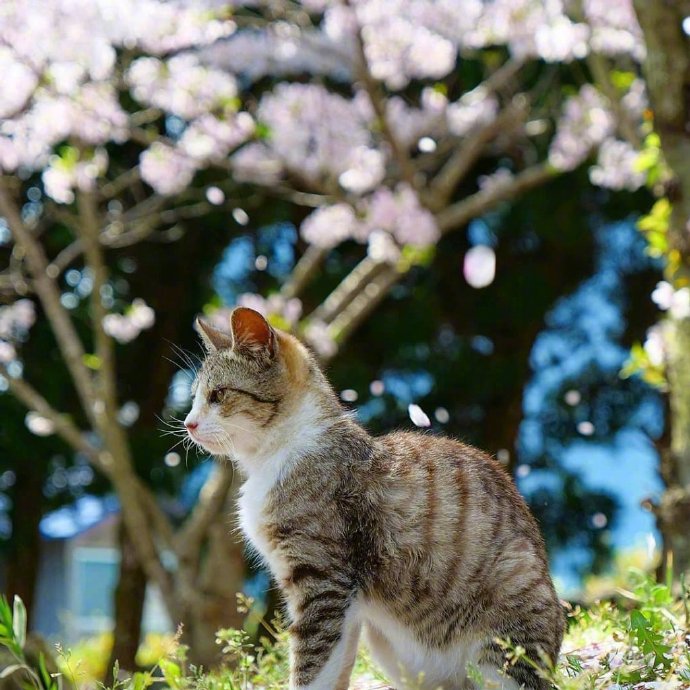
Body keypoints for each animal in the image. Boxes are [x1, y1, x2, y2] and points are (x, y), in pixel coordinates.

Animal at [184, 308, 564, 688]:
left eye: (218, 394)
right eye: (195, 397)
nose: (188, 423)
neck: (276, 455)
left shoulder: (324, 583)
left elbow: (311, 666)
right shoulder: (340, 603)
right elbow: (335, 667)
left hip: (505, 624)